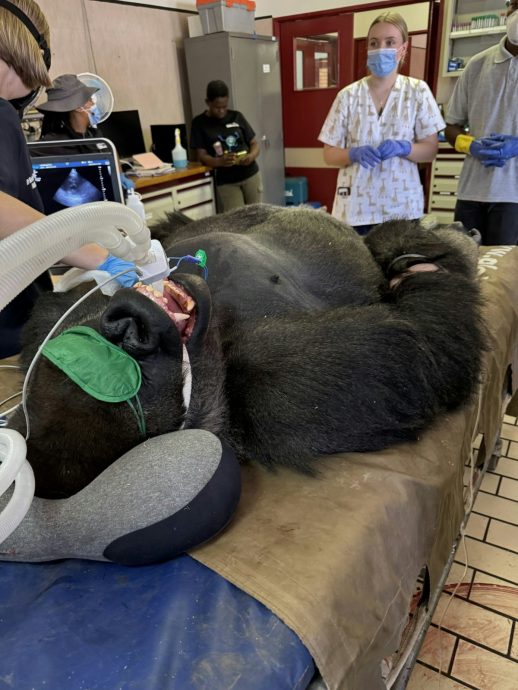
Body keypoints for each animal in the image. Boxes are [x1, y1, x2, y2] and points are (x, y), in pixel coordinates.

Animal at [9, 204, 485, 499]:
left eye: (97, 339)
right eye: (126, 382)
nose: (130, 322)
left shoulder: (61, 313)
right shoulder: (274, 388)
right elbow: (421, 346)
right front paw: (429, 256)